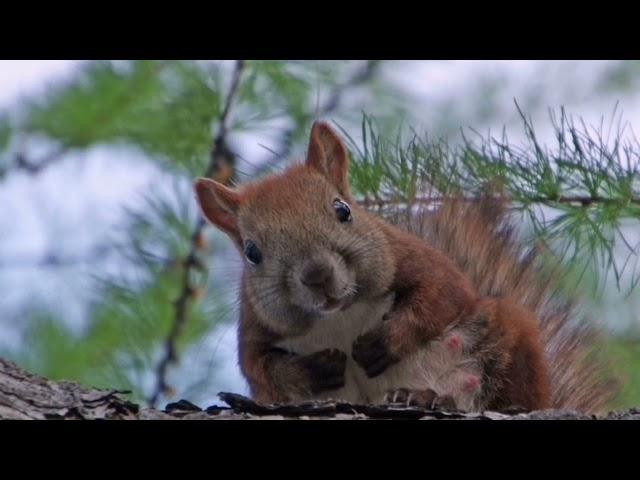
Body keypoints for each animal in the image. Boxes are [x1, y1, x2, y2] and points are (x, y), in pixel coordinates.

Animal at [194, 120, 616, 412]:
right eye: (252, 252)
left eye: (343, 211)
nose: (318, 275)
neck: (339, 317)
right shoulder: (255, 329)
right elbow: (262, 370)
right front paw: (317, 368)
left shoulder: (414, 258)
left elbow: (442, 296)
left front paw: (381, 343)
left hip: (506, 341)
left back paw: (433, 398)